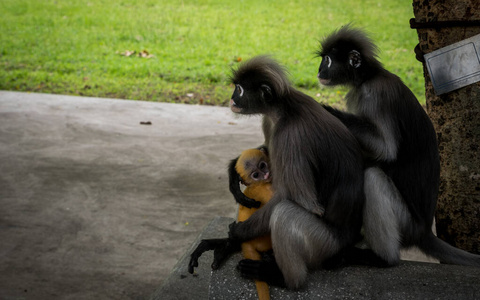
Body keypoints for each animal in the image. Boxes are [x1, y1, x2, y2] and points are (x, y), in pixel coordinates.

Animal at [234, 148, 272, 300]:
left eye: (262, 165)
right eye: (256, 175)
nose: (266, 174)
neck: (260, 184)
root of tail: (246, 242)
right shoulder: (265, 191)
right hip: (264, 239)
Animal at [316, 24, 480, 266]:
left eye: (327, 60)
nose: (319, 72)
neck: (368, 77)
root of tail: (424, 231)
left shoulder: (374, 96)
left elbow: (386, 150)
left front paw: (326, 111)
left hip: (406, 223)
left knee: (372, 177)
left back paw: (383, 258)